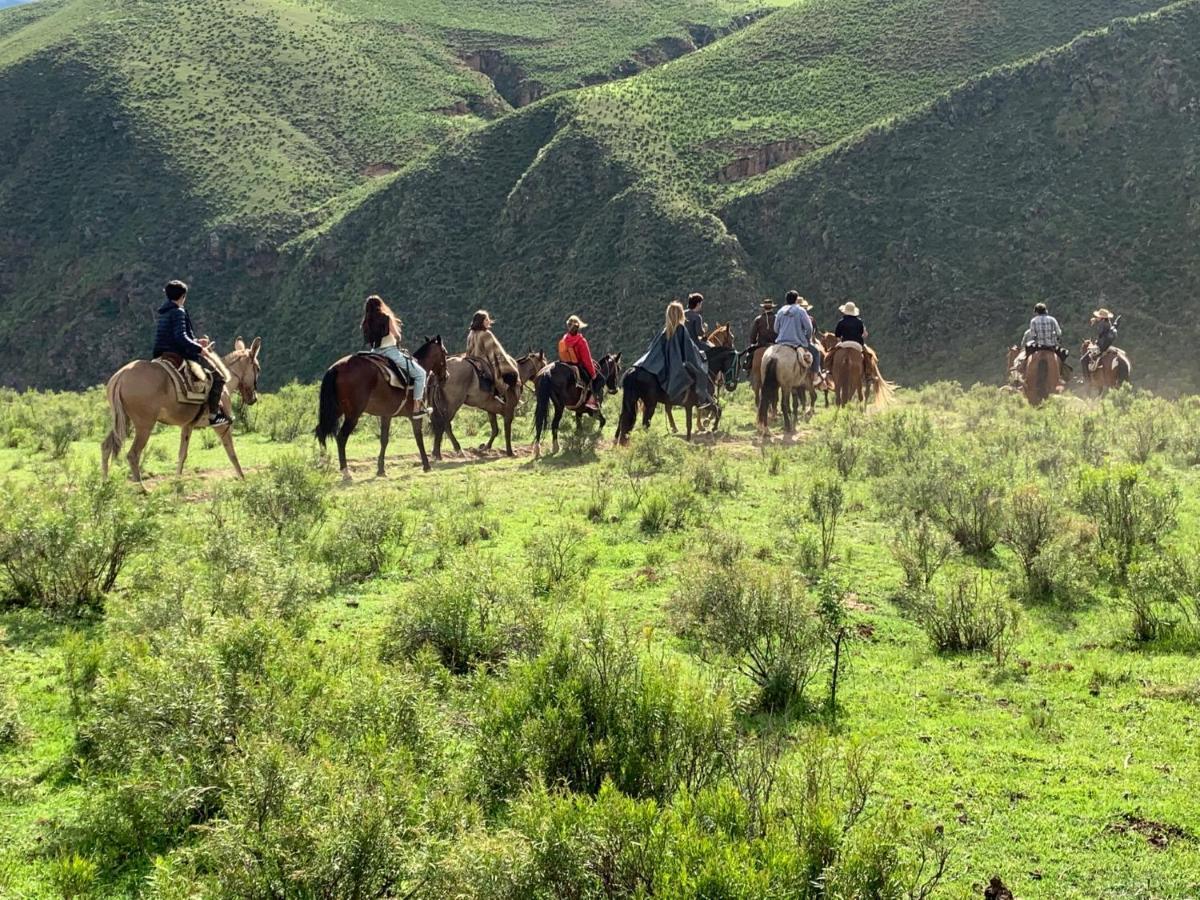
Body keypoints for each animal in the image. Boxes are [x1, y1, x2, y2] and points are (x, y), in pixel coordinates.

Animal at [102, 340, 264, 494]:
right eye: (258, 368)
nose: (253, 398)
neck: (225, 385)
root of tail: (120, 377)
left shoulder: (188, 425)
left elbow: (182, 454)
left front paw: (177, 482)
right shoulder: (222, 426)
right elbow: (231, 453)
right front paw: (243, 479)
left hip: (123, 421)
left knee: (106, 446)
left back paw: (105, 484)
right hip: (144, 426)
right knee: (133, 454)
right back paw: (142, 489)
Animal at [316, 336, 448, 480]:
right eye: (445, 353)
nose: (446, 376)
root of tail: (335, 368)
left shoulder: (386, 415)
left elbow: (384, 440)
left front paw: (381, 470)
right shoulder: (415, 416)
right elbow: (419, 438)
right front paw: (426, 465)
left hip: (335, 411)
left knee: (320, 432)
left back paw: (323, 464)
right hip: (352, 416)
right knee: (341, 438)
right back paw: (345, 472)